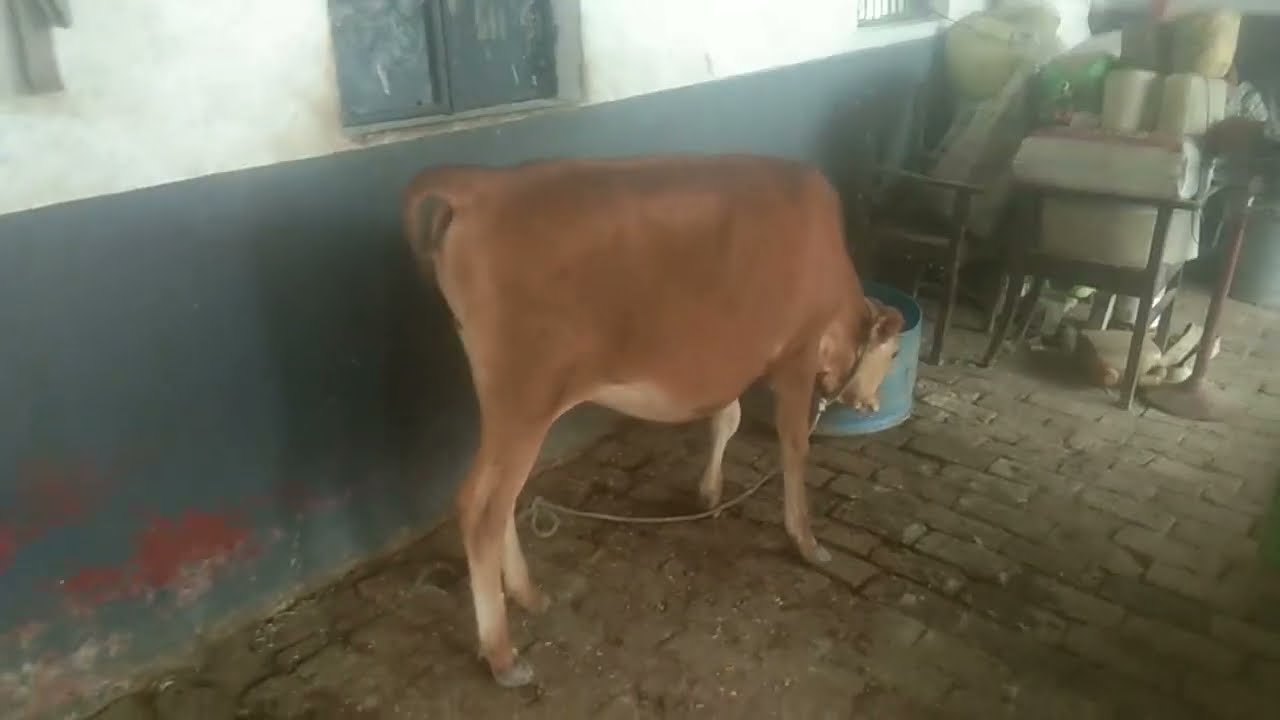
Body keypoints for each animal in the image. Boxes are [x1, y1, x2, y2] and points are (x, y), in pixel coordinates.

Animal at [403, 154, 904, 687]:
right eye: (893, 353)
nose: (872, 404)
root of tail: (481, 183)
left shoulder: (729, 362)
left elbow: (727, 418)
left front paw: (709, 492)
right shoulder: (796, 356)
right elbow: (793, 446)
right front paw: (806, 541)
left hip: (510, 409)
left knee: (495, 499)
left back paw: (527, 594)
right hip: (525, 400)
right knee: (484, 509)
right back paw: (502, 655)